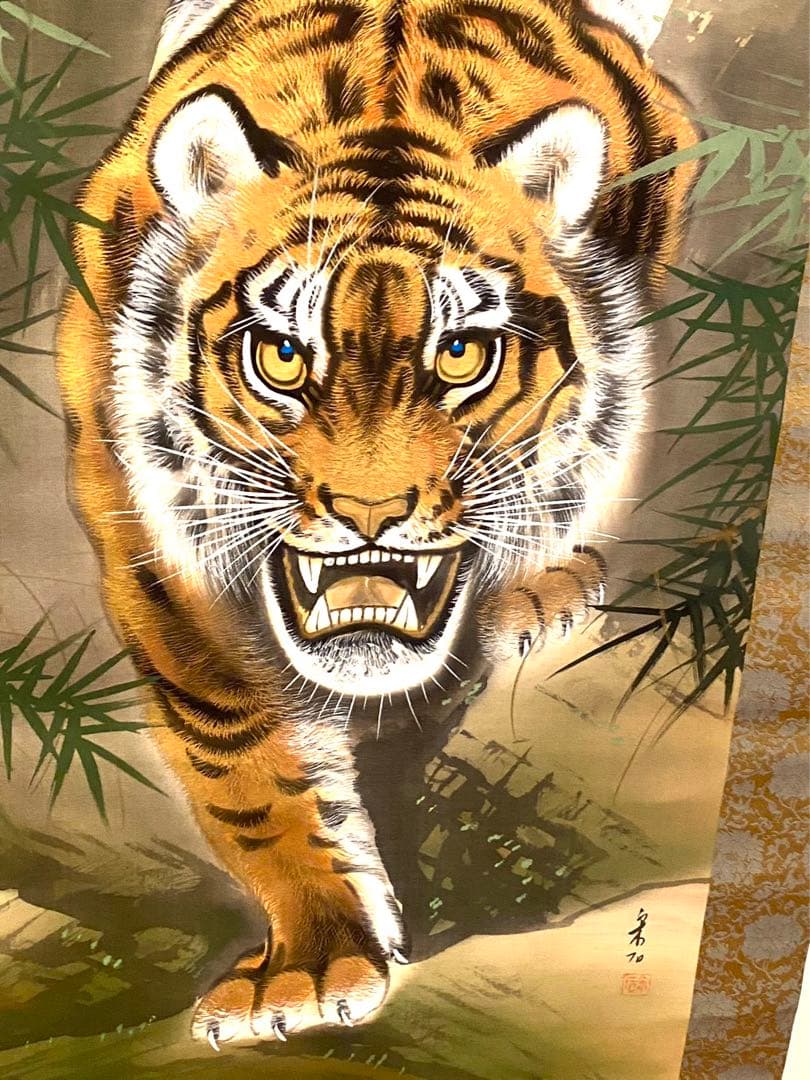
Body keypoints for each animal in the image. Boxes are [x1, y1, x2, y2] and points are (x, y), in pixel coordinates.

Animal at [57, 0, 698, 1047]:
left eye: (463, 354)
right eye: (281, 356)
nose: (370, 515)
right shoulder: (156, 544)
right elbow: (246, 771)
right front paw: (310, 964)